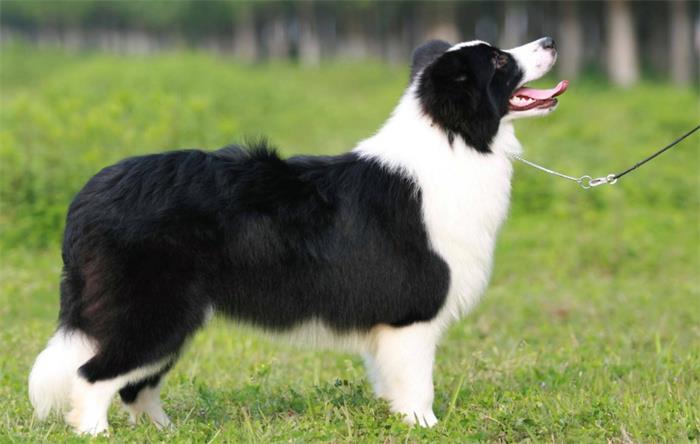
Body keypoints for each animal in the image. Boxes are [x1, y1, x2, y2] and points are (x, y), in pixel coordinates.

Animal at [29, 37, 567, 435]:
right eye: (498, 60)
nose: (549, 41)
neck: (454, 141)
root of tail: (88, 197)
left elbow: (391, 381)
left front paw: (396, 418)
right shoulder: (411, 312)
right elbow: (418, 383)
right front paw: (426, 426)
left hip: (173, 317)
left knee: (134, 383)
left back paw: (166, 430)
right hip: (153, 309)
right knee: (93, 374)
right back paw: (95, 431)